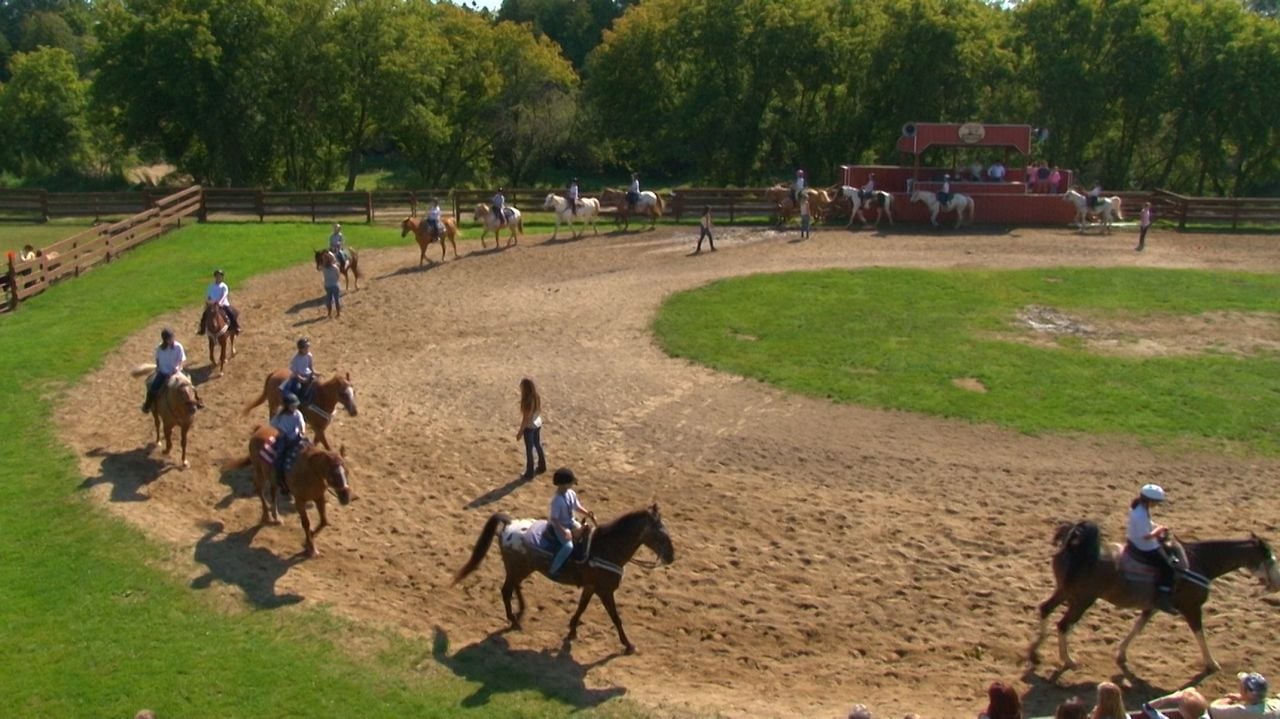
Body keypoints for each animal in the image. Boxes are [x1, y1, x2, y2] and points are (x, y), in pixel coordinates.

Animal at [221, 422, 350, 557]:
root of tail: (259, 429)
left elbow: (324, 521)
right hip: (260, 472)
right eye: (332, 475)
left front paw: (308, 540)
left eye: (347, 472)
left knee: (273, 492)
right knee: (259, 490)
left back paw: (276, 517)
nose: (346, 497)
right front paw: (311, 548)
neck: (309, 471)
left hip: (272, 477)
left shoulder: (319, 497)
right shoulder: (299, 501)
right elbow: (306, 523)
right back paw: (267, 516)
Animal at [458, 501, 680, 652]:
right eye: (660, 533)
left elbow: (581, 607)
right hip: (517, 568)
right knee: (506, 590)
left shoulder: (591, 587)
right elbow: (616, 618)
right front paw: (628, 644)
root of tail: (510, 523)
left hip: (522, 569)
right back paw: (514, 620)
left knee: (515, 587)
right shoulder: (604, 591)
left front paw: (572, 629)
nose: (671, 556)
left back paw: (521, 612)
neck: (605, 549)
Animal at [1029, 516, 1280, 675]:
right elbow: (1200, 634)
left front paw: (1121, 654)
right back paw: (1068, 660)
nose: (1276, 585)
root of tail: (1073, 546)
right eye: (1270, 558)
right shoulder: (1192, 607)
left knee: (1045, 609)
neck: (1197, 562)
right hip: (1082, 600)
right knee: (1063, 625)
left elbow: (1137, 628)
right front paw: (1212, 663)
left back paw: (1036, 651)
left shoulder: (1152, 607)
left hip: (1065, 592)